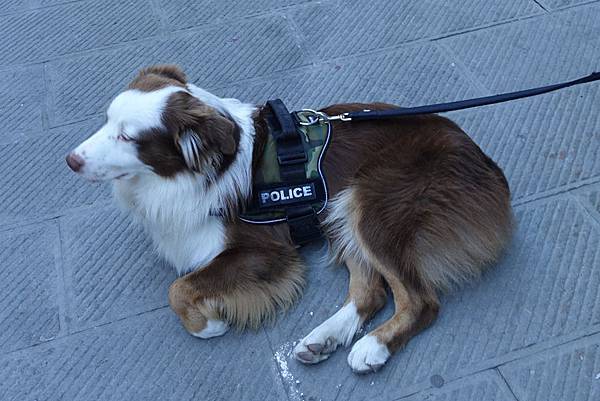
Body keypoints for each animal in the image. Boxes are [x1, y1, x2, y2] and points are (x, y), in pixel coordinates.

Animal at [68, 65, 512, 372]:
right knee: (371, 291)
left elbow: (178, 288)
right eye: (107, 121)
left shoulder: (267, 250)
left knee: (421, 300)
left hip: (372, 200)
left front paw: (208, 325)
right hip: (338, 210)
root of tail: (486, 164)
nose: (70, 161)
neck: (198, 170)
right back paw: (323, 339)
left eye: (128, 137)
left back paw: (373, 347)